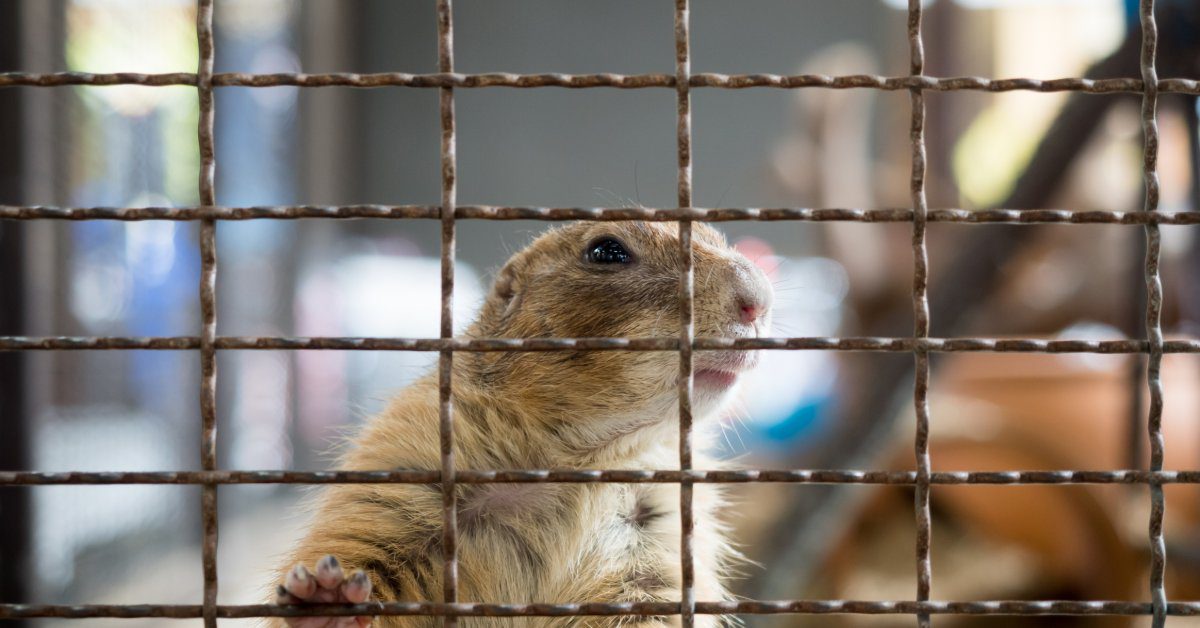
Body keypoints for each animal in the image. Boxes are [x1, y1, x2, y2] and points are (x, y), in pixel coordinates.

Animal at [270, 221, 773, 628]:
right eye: (606, 250)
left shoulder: (661, 535)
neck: (589, 454)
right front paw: (328, 598)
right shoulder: (401, 465)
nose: (759, 299)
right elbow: (363, 549)